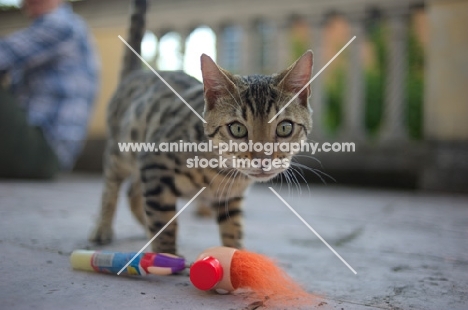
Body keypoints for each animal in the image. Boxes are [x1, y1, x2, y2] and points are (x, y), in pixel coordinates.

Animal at [88, 0, 314, 254]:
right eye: (237, 129)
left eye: (284, 128)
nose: (262, 160)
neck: (222, 171)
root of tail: (135, 75)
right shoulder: (154, 163)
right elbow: (163, 221)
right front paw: (166, 255)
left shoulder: (231, 197)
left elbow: (233, 229)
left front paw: (237, 255)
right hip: (122, 153)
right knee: (112, 188)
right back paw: (103, 228)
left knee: (133, 192)